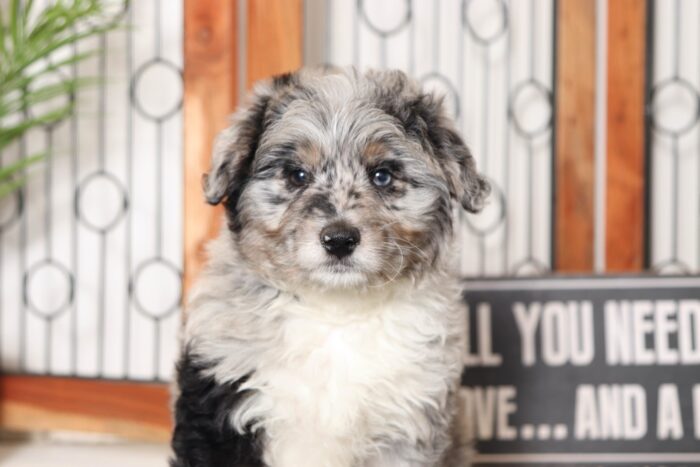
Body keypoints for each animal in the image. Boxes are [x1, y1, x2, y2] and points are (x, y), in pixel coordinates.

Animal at [171, 66, 486, 467]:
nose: (339, 240)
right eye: (297, 175)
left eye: (382, 175)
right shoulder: (219, 405)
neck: (334, 310)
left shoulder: (406, 425)